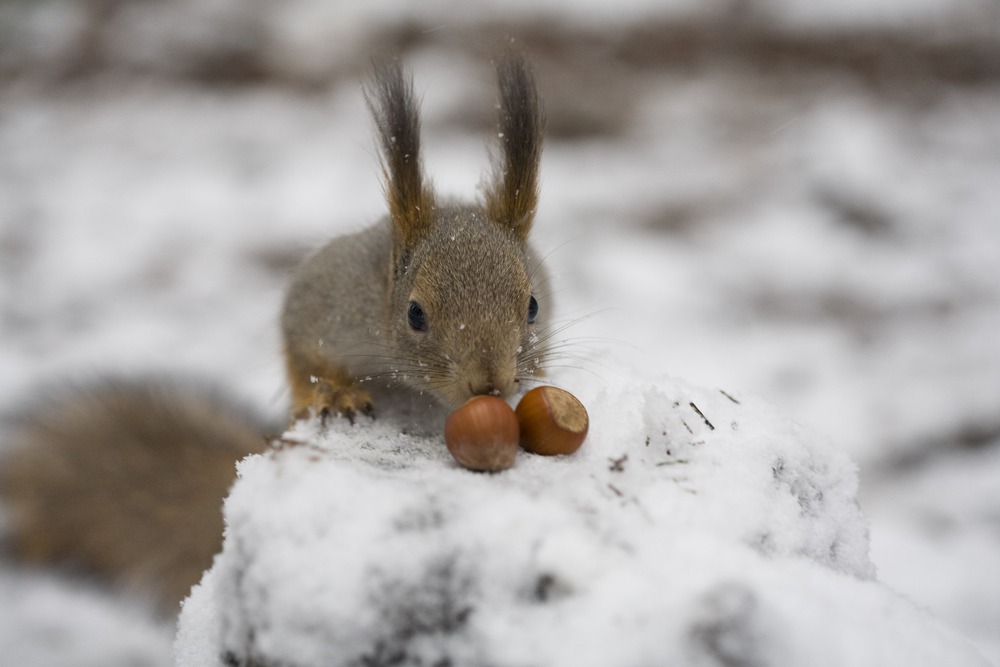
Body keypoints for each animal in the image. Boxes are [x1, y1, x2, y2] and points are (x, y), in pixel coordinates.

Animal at [0, 54, 552, 620]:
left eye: (533, 306)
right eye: (415, 314)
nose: (490, 384)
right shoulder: (322, 300)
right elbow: (298, 350)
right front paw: (331, 394)